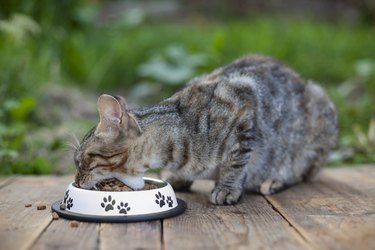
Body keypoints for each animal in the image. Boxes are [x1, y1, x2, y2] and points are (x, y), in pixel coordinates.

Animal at [73, 54, 338, 205]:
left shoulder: (244, 107)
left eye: (81, 161)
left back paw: (272, 180)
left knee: (302, 173)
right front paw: (179, 178)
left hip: (318, 122)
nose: (76, 180)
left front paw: (227, 188)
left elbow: (236, 161)